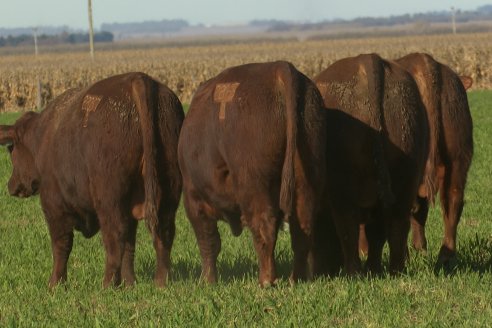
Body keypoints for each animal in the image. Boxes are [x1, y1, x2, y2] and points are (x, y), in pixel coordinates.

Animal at [0, 71, 184, 288]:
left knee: (114, 238)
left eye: (11, 148)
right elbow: (130, 246)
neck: (43, 136)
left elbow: (61, 245)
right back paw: (159, 283)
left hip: (109, 200)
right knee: (162, 234)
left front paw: (55, 284)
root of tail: (137, 78)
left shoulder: (54, 206)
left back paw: (107, 285)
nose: (11, 185)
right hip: (167, 192)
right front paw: (129, 282)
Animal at [178, 61, 326, 288]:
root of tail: (280, 68)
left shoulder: (193, 199)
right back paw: (296, 278)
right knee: (302, 228)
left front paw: (207, 280)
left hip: (253, 186)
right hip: (305, 180)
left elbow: (208, 241)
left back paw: (266, 280)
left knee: (264, 226)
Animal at [314, 55, 428, 276]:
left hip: (343, 191)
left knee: (348, 227)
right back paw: (392, 269)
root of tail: (368, 59)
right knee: (396, 225)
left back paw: (353, 272)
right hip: (404, 181)